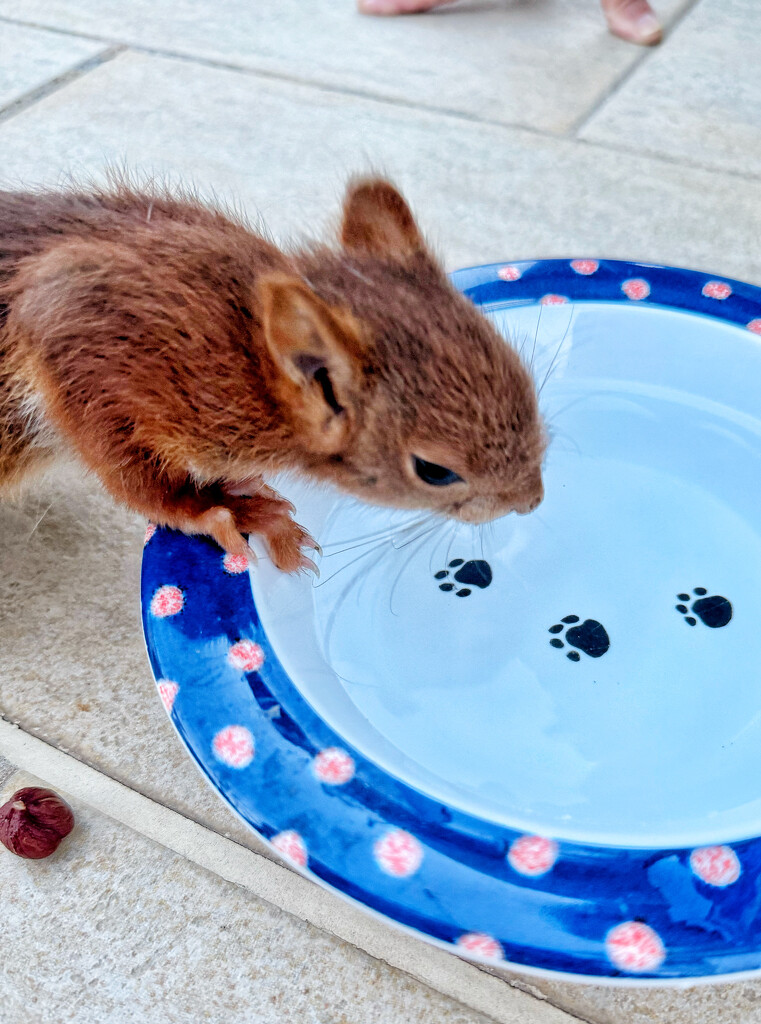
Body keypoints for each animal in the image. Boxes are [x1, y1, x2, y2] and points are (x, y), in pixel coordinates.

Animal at [0, 179, 548, 573]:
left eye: (525, 379)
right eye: (434, 471)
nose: (533, 501)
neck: (251, 362)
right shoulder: (88, 355)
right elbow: (138, 481)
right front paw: (221, 509)